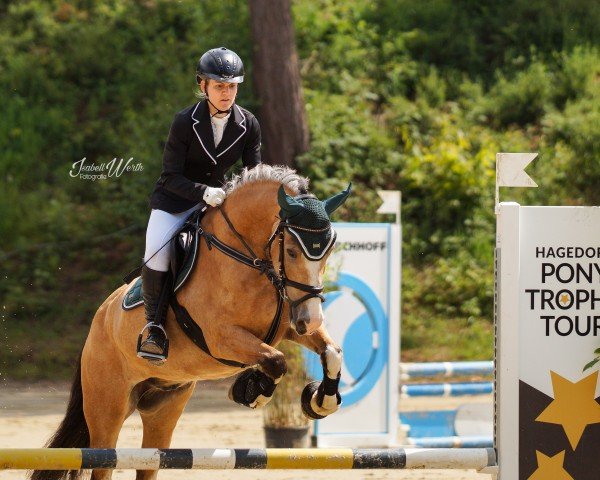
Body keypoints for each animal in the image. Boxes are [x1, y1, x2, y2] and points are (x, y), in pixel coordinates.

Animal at [31, 165, 352, 480]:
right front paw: (251, 392)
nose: (311, 318)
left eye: (329, 250)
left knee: (148, 463)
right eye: (292, 252)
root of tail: (98, 321)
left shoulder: (288, 327)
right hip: (107, 408)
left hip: (164, 407)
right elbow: (276, 360)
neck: (247, 261)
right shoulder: (222, 338)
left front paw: (319, 402)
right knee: (103, 462)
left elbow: (332, 353)